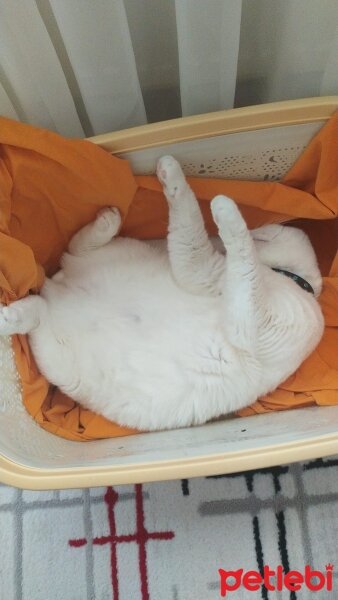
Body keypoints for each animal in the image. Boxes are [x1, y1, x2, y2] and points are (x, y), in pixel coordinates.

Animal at [0, 157, 324, 432]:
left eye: (265, 236)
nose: (219, 241)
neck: (299, 284)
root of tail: (59, 287)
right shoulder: (210, 273)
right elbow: (197, 226)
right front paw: (174, 175)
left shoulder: (235, 300)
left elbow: (237, 252)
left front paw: (222, 207)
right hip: (118, 255)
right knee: (73, 251)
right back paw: (107, 221)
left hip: (54, 355)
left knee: (40, 305)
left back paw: (9, 316)